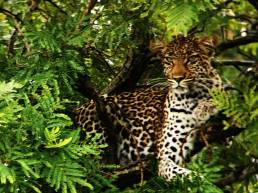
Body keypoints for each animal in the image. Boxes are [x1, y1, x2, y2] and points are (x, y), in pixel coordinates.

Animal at [73, 35, 223, 181]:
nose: (177, 78)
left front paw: (205, 108)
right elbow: (193, 177)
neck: (192, 96)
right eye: (169, 60)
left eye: (191, 59)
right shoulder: (166, 157)